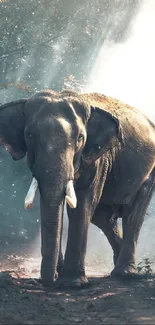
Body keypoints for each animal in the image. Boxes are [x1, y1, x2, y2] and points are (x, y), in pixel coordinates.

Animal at [0, 89, 155, 286]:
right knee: (104, 218)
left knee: (132, 215)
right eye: (29, 135)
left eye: (80, 138)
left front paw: (72, 283)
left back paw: (125, 273)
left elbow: (82, 203)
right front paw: (61, 276)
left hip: (149, 174)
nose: (50, 280)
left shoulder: (97, 159)